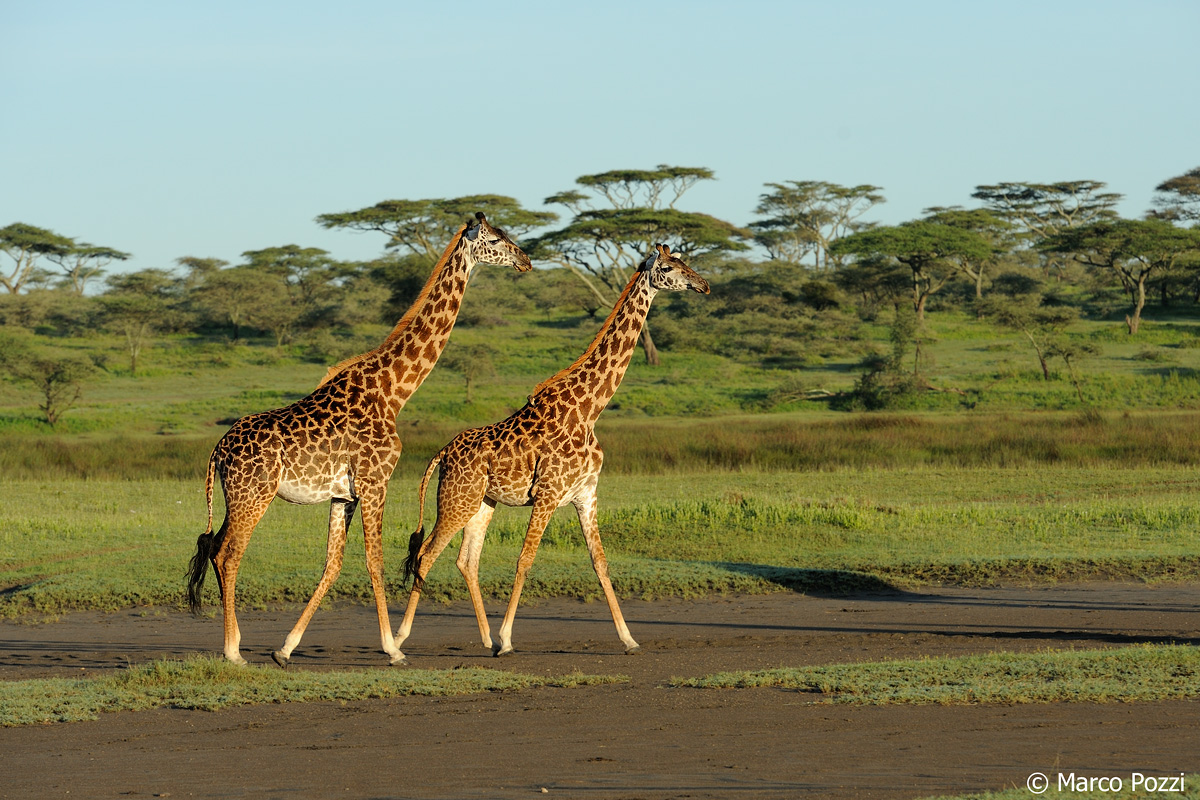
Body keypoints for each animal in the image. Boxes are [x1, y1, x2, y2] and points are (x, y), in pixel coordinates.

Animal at [186, 212, 531, 667]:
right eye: (494, 239)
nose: (526, 260)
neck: (394, 391)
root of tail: (217, 452)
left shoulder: (343, 494)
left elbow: (332, 564)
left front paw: (285, 648)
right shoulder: (375, 481)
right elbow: (374, 559)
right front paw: (392, 649)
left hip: (235, 497)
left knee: (216, 548)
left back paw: (239, 642)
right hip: (254, 495)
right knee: (228, 553)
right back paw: (232, 651)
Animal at [395, 244, 709, 657]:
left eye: (686, 261)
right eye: (671, 267)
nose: (703, 284)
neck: (589, 409)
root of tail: (441, 454)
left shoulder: (586, 494)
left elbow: (600, 563)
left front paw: (629, 639)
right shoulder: (547, 494)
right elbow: (524, 561)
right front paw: (508, 639)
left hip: (481, 502)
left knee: (466, 560)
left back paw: (483, 639)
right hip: (456, 500)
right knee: (427, 554)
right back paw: (401, 639)